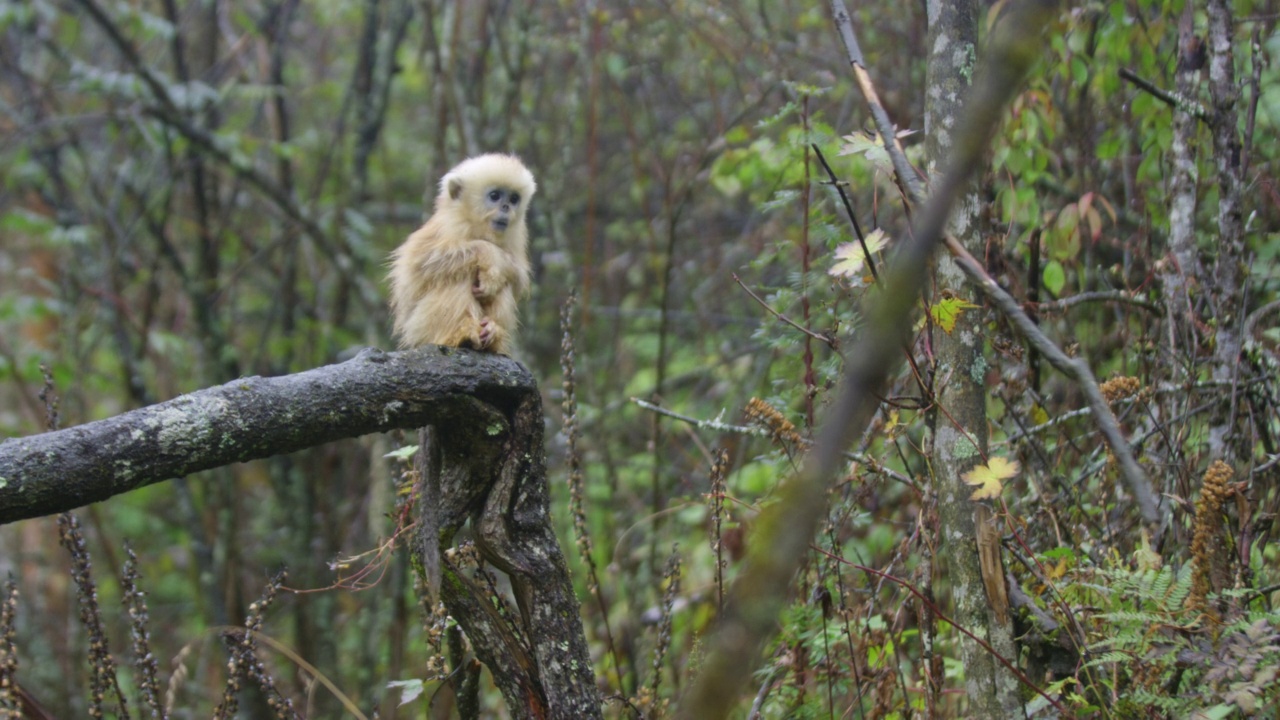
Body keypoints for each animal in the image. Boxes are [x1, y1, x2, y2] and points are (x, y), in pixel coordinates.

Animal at [386, 152, 532, 353]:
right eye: (495, 196)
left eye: (514, 199)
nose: (506, 207)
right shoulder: (446, 225)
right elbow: (417, 264)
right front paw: (492, 256)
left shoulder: (516, 234)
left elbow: (518, 277)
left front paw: (496, 273)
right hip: (420, 327)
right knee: (458, 274)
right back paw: (462, 335)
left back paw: (492, 334)